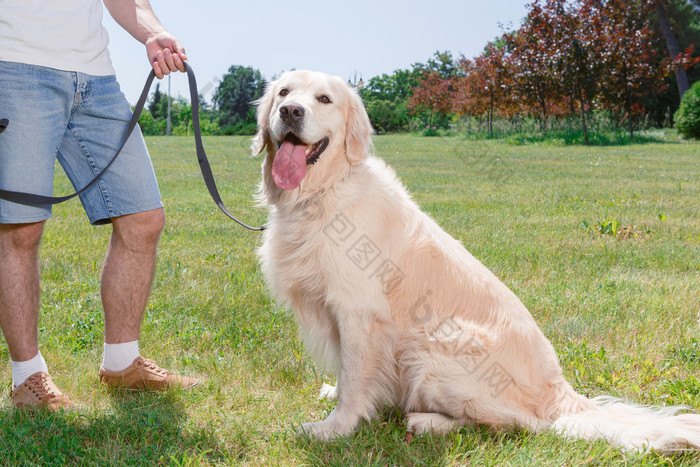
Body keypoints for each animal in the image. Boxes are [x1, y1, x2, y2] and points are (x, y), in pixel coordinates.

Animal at [252, 70, 700, 454]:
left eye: (324, 99)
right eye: (284, 92)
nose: (290, 112)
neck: (321, 193)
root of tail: (557, 389)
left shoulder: (359, 311)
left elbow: (354, 379)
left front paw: (333, 428)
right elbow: (348, 376)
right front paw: (335, 396)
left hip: (433, 344)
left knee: (526, 425)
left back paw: (427, 421)